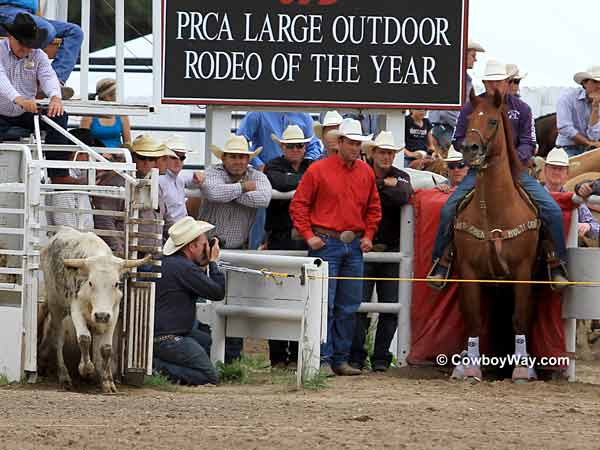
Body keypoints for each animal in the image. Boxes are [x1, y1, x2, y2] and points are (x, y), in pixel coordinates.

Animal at [454, 91, 540, 384]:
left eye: (492, 120)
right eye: (469, 117)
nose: (470, 148)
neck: (494, 211)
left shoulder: (523, 271)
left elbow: (520, 318)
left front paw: (522, 369)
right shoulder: (468, 271)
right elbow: (473, 319)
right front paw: (471, 367)